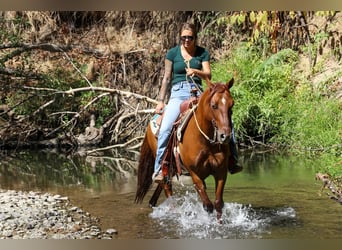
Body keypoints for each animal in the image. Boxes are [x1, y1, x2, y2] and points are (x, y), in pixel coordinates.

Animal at [135, 78, 236, 221]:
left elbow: (218, 203)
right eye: (214, 105)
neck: (205, 140)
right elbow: (207, 205)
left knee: (159, 190)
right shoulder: (194, 172)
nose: (225, 136)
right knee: (167, 187)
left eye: (231, 105)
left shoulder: (221, 171)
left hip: (171, 167)